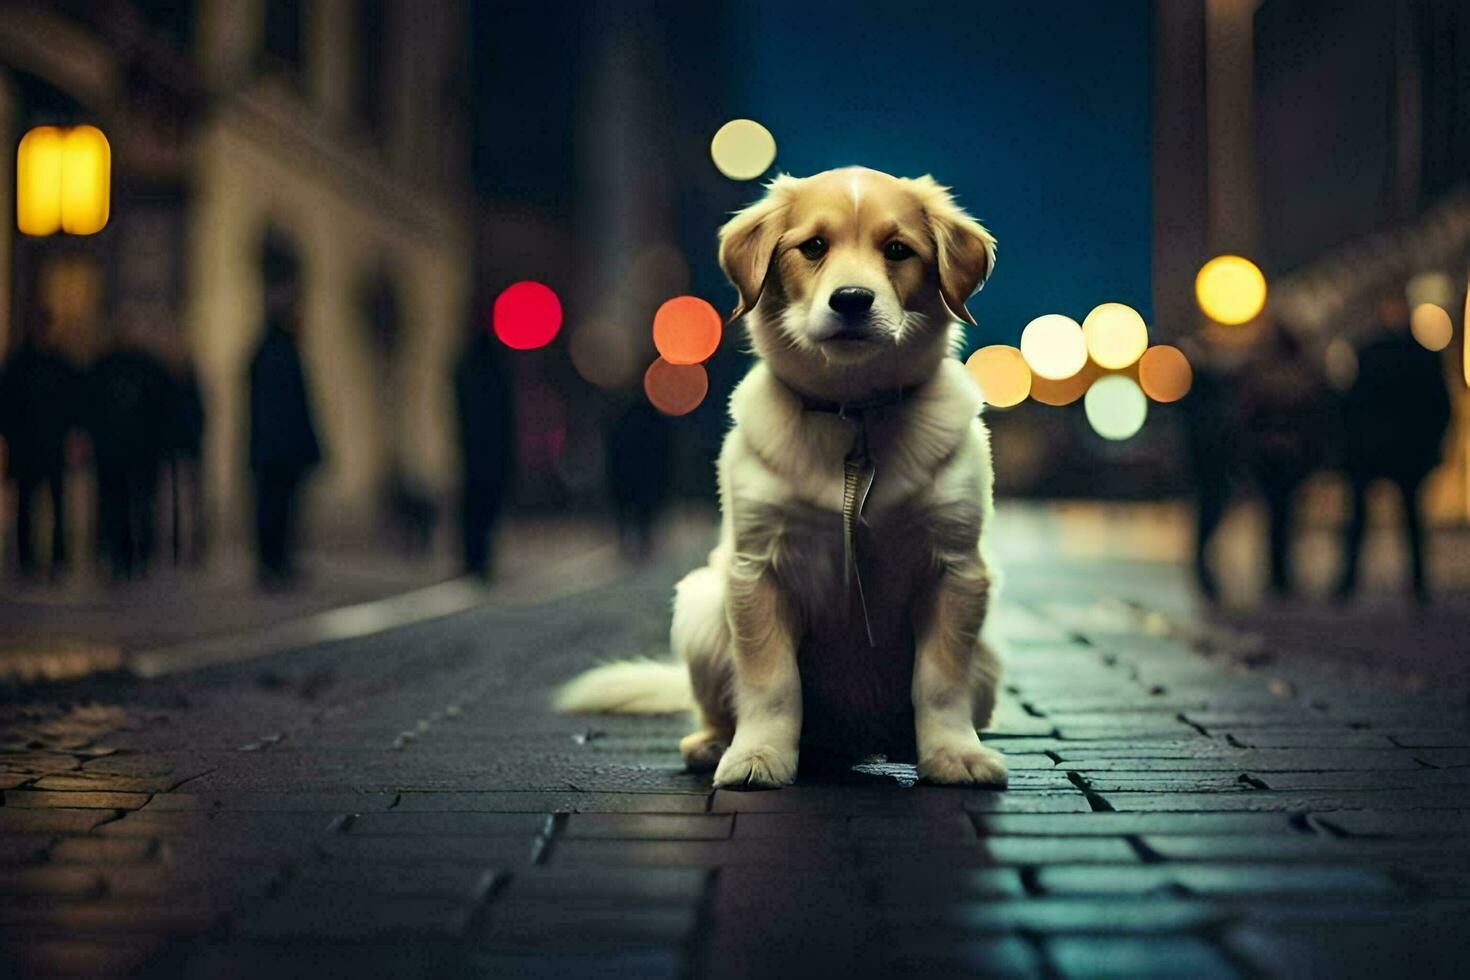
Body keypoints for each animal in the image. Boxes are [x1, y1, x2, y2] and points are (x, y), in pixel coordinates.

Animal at [555, 163, 1005, 787]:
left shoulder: (957, 570)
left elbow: (939, 683)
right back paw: (712, 744)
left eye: (897, 250)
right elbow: (771, 684)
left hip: (989, 656)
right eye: (813, 247)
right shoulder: (756, 570)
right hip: (701, 604)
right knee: (720, 706)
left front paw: (953, 755)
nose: (852, 300)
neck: (852, 415)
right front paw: (759, 756)